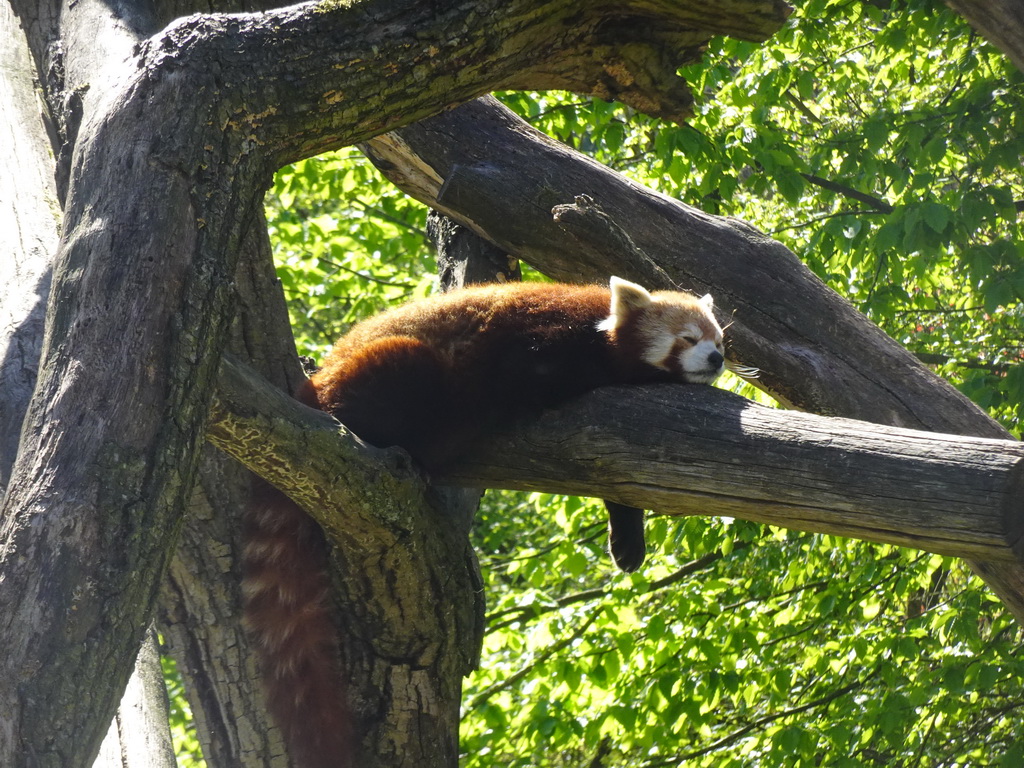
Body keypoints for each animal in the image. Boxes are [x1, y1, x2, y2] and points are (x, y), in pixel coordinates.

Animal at [245, 278, 729, 768]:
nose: (716, 359)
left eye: (720, 341)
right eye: (688, 338)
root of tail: (313, 385)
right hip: (393, 369)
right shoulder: (542, 338)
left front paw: (628, 541)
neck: (600, 331)